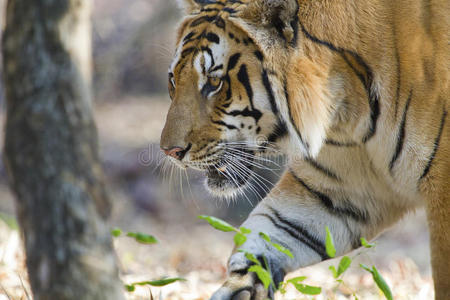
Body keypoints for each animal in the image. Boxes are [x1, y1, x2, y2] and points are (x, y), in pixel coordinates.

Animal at [160, 0, 450, 298]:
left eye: (214, 83)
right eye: (173, 80)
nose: (170, 151)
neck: (350, 114)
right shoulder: (340, 190)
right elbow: (267, 233)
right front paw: (242, 287)